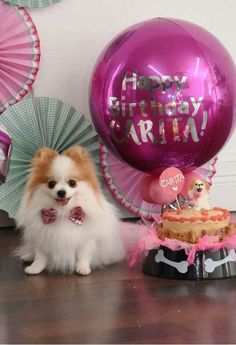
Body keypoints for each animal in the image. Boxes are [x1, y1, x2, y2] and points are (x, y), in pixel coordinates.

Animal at [16, 145, 125, 274]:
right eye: (51, 184)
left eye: (72, 183)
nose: (61, 192)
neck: (63, 213)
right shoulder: (41, 238)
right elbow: (40, 256)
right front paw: (35, 268)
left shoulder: (86, 239)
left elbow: (83, 254)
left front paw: (82, 267)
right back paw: (28, 256)